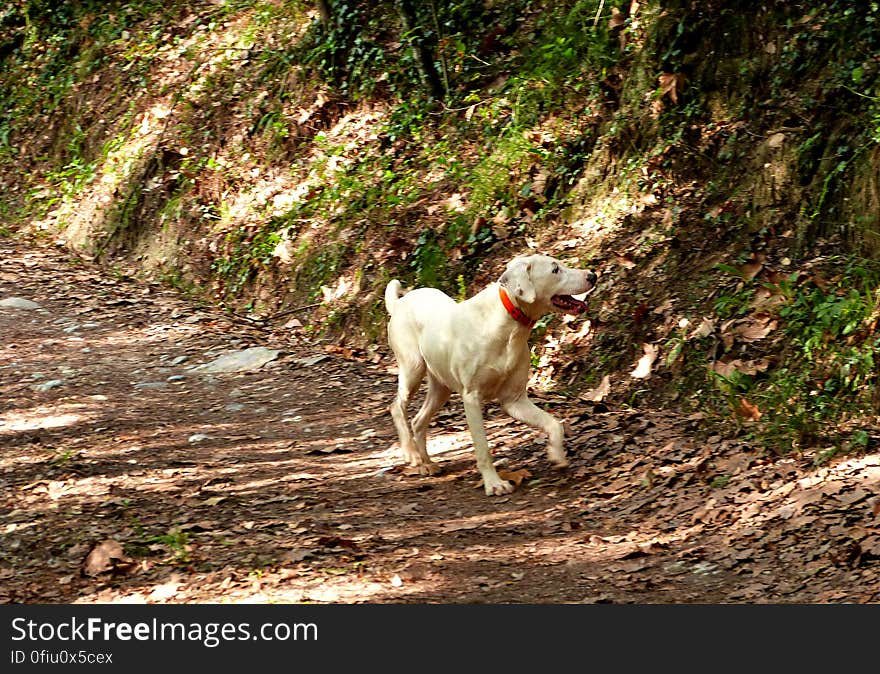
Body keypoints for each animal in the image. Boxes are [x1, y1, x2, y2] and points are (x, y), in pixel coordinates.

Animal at [384, 252, 600, 494]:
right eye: (555, 269)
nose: (593, 275)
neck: (507, 323)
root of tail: (400, 302)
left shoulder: (515, 400)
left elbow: (554, 424)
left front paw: (557, 454)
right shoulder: (472, 398)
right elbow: (483, 447)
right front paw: (494, 484)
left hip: (441, 388)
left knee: (419, 420)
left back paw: (427, 464)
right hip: (412, 369)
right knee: (397, 407)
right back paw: (411, 453)